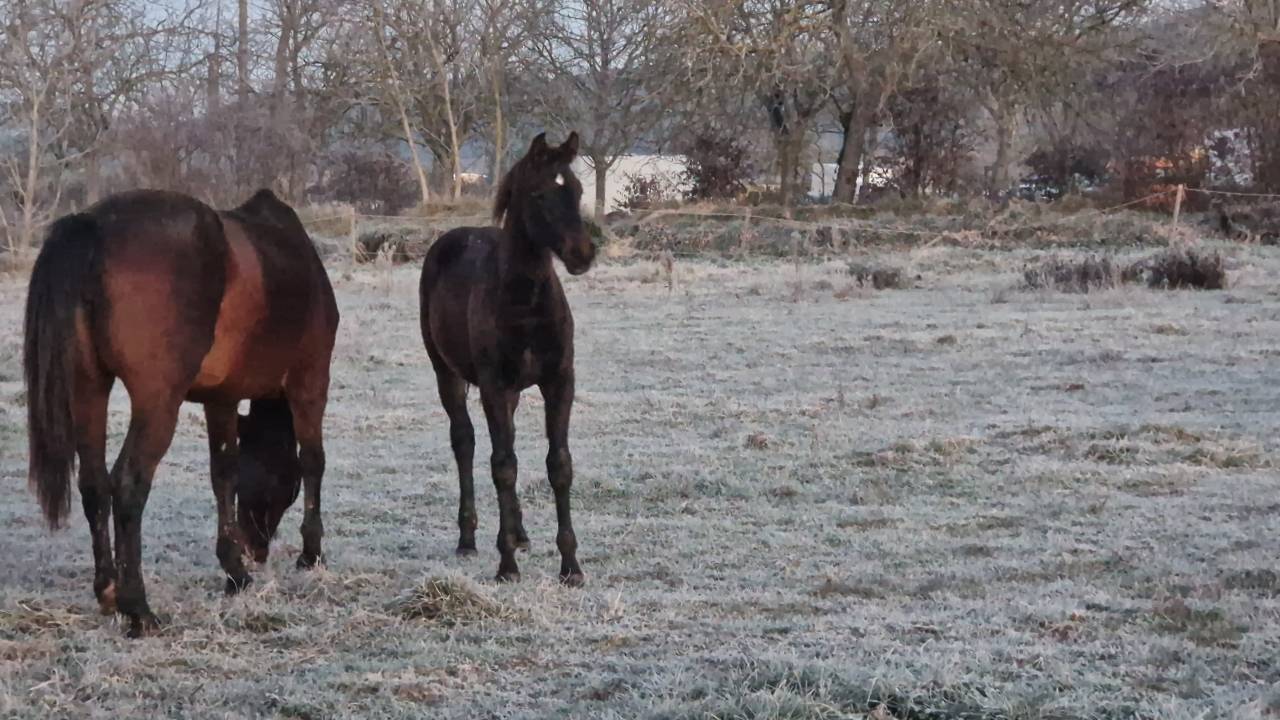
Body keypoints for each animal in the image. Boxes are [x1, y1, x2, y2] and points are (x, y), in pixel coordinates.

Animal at [23, 188, 339, 637]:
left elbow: (223, 473)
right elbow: (312, 460)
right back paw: (138, 609)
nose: (256, 548)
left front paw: (235, 572)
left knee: (94, 484)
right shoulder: (310, 380)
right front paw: (311, 554)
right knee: (128, 486)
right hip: (157, 402)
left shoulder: (222, 398)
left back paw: (108, 591)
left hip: (88, 387)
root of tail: (92, 226)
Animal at [419, 132, 596, 586]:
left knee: (508, 439)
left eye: (576, 190)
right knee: (465, 442)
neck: (526, 303)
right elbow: (502, 466)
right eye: (539, 194)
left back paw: (520, 533)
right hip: (446, 374)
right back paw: (469, 538)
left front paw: (571, 566)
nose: (583, 253)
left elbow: (559, 465)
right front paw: (507, 566)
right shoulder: (493, 386)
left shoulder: (559, 381)